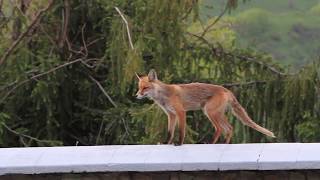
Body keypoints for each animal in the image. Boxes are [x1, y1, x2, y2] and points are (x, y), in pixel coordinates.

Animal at [135, 69, 276, 146]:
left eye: (145, 88)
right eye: (139, 87)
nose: (136, 95)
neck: (164, 96)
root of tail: (226, 90)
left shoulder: (181, 112)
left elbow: (181, 131)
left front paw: (179, 143)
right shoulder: (171, 115)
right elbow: (170, 132)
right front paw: (166, 143)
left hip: (209, 112)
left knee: (220, 129)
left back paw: (212, 143)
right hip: (216, 114)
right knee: (230, 128)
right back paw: (224, 144)